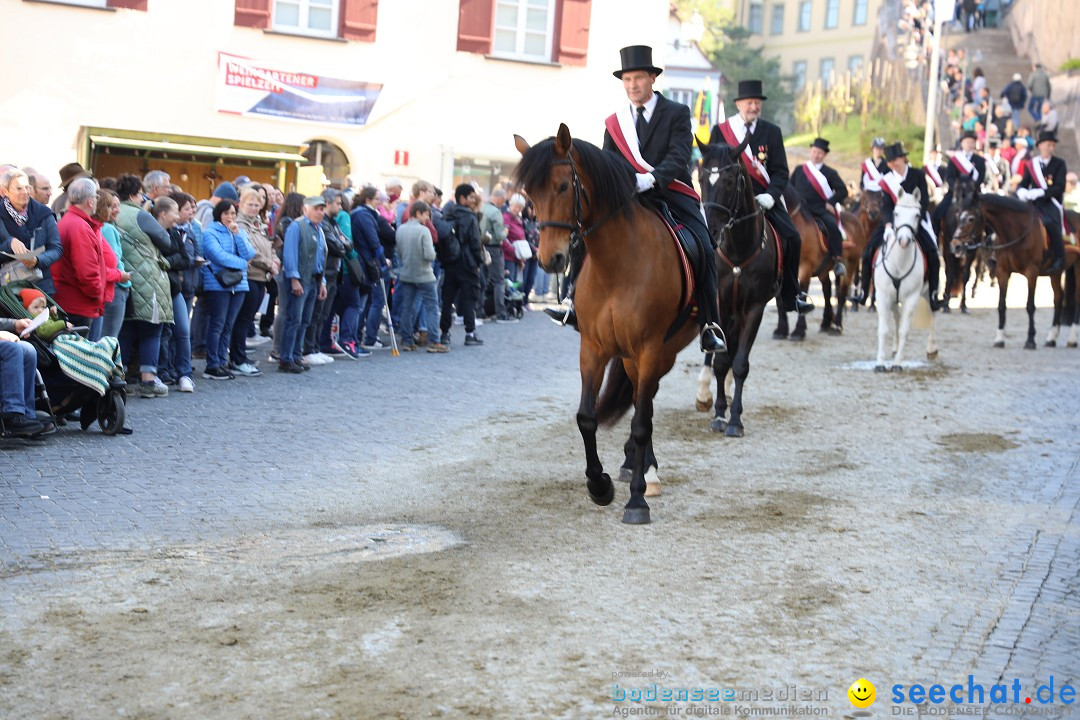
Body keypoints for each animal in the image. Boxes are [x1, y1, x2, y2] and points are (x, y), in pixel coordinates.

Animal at [514, 126, 699, 526]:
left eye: (563, 186)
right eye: (529, 195)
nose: (551, 260)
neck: (617, 265)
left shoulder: (648, 349)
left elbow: (641, 422)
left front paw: (637, 501)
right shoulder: (593, 348)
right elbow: (587, 417)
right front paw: (599, 485)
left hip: (662, 353)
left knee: (646, 405)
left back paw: (647, 473)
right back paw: (638, 467)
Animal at [695, 137, 781, 436]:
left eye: (731, 180)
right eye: (701, 178)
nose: (710, 231)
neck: (737, 250)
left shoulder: (754, 308)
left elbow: (741, 363)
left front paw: (734, 419)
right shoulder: (720, 303)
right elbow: (721, 361)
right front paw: (720, 414)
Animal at [876, 188, 937, 371]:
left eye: (917, 215)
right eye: (896, 213)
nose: (903, 240)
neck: (899, 263)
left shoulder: (911, 298)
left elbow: (905, 330)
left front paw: (897, 364)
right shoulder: (882, 296)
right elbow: (883, 329)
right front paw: (880, 363)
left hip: (928, 293)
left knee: (933, 313)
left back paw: (931, 348)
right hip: (893, 299)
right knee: (896, 316)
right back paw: (895, 348)